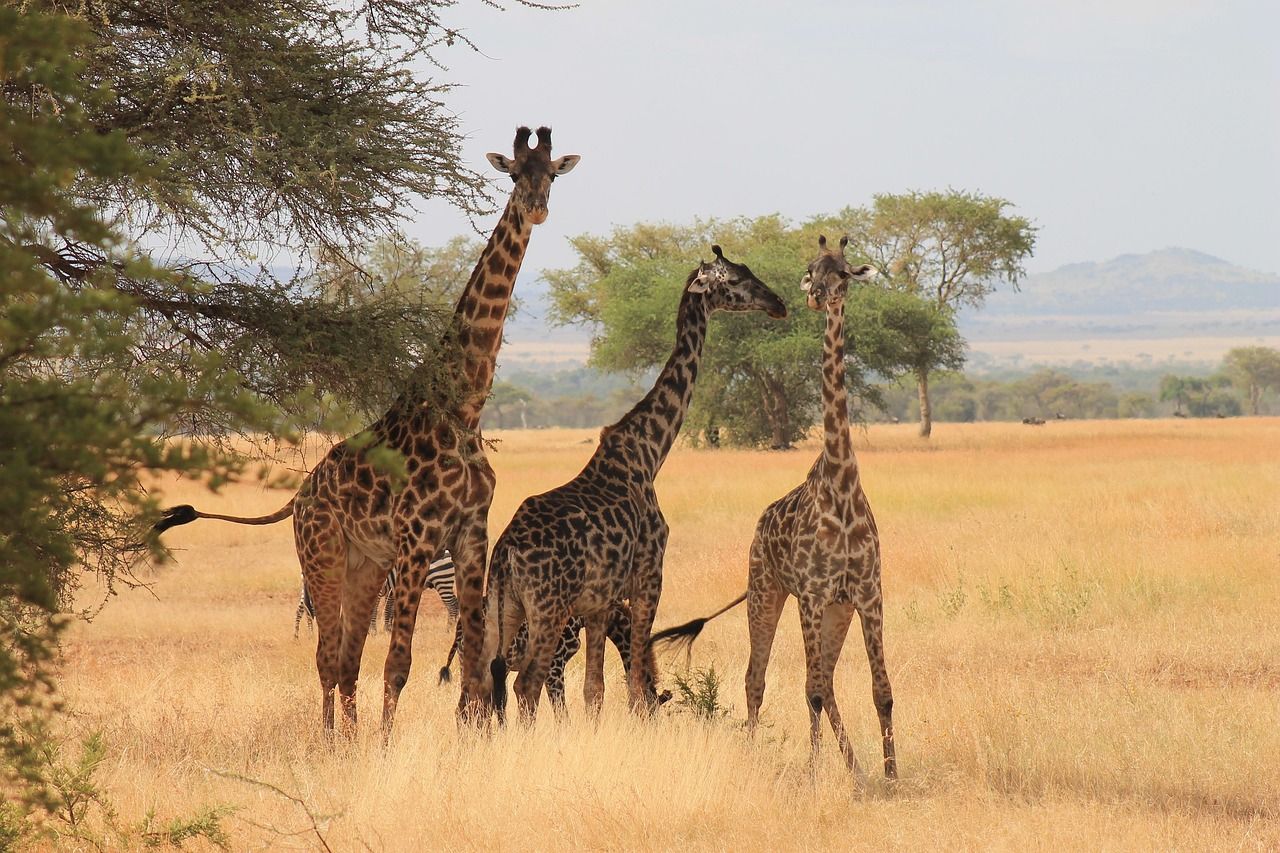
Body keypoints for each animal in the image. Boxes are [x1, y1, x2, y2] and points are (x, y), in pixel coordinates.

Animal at [151, 126, 580, 734]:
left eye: (552, 175)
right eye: (516, 173)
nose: (537, 208)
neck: (463, 409)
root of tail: (300, 496)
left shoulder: (471, 533)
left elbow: (474, 660)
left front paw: (468, 737)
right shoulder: (417, 535)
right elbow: (399, 662)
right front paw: (386, 744)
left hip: (365, 564)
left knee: (348, 657)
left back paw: (347, 739)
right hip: (322, 553)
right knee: (327, 656)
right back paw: (335, 742)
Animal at [479, 246, 787, 721]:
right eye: (735, 279)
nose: (778, 303)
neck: (648, 453)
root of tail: (507, 551)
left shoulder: (600, 601)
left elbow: (596, 689)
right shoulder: (648, 576)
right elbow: (638, 685)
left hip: (506, 607)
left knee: (485, 680)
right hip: (547, 608)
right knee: (526, 682)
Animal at [650, 235, 896, 785]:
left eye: (843, 272)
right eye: (811, 268)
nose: (815, 295)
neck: (842, 488)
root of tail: (759, 526)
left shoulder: (867, 593)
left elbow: (881, 692)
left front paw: (893, 777)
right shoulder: (811, 593)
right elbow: (811, 691)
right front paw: (815, 773)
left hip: (835, 609)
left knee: (826, 679)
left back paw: (856, 771)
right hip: (767, 590)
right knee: (759, 678)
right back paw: (767, 755)